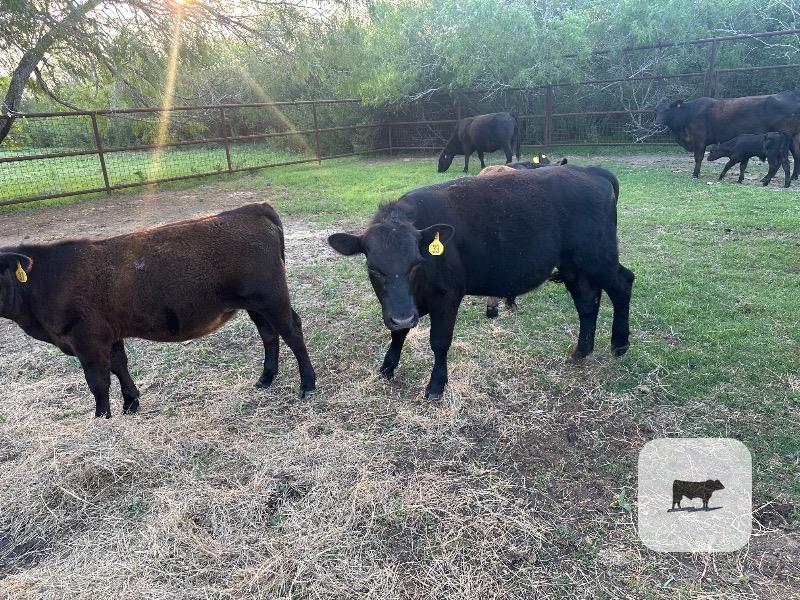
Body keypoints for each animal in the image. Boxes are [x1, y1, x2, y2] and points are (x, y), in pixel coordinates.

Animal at [0, 203, 317, 419]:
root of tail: (253, 208)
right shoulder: (110, 333)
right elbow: (120, 365)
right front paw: (130, 403)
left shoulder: (87, 338)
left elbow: (97, 381)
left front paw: (101, 419)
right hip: (255, 304)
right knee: (269, 335)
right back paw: (265, 379)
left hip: (271, 297)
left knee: (292, 331)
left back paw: (308, 384)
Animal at [328, 166, 634, 401]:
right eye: (373, 268)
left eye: (416, 262)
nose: (403, 316)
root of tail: (591, 171)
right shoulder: (401, 306)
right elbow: (398, 333)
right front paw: (387, 367)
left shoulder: (447, 295)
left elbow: (439, 341)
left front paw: (436, 385)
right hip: (574, 266)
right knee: (587, 302)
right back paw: (581, 351)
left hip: (598, 257)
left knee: (623, 284)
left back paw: (619, 344)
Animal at [654, 91, 800, 178]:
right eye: (656, 109)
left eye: (667, 109)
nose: (656, 122)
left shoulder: (699, 139)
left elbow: (698, 158)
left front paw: (695, 174)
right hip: (793, 138)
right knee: (797, 155)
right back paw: (793, 177)